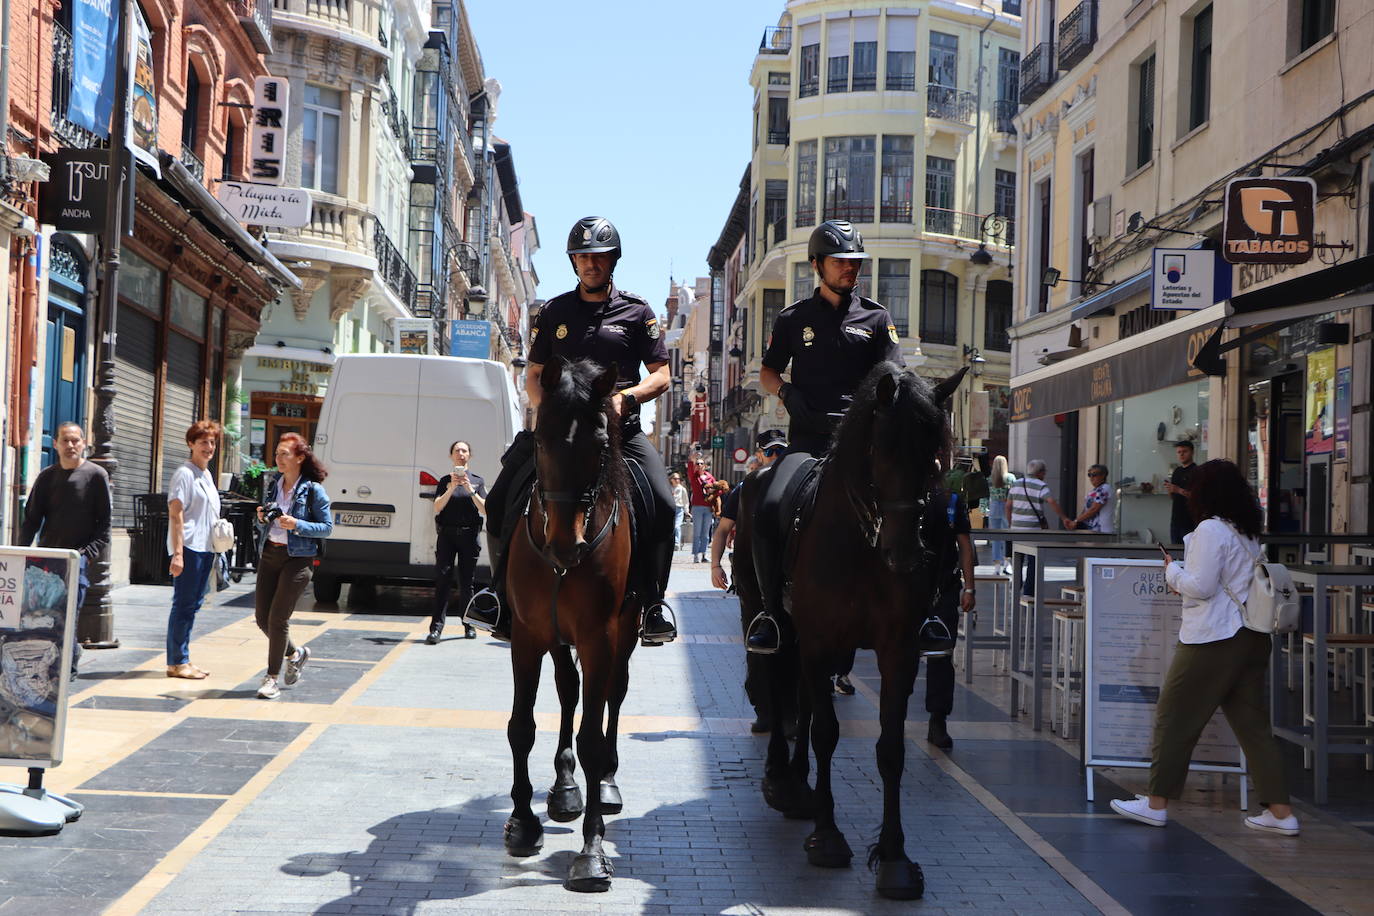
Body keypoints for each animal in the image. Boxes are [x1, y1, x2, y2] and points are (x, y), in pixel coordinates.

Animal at [500, 357, 637, 895]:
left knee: (612, 696)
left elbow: (593, 739)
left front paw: (592, 854)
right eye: (540, 441)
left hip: (626, 632)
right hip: (555, 637)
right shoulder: (525, 634)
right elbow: (521, 727)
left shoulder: (601, 638)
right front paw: (522, 822)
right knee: (566, 687)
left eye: (600, 446)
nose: (564, 544)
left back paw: (607, 786)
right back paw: (563, 788)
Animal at [736, 359, 961, 900]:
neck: (863, 544)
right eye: (882, 448)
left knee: (798, 699)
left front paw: (895, 859)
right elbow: (826, 733)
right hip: (768, 615)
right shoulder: (819, 642)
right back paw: (781, 779)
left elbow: (891, 748)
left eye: (935, 452)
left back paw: (799, 785)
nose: (905, 552)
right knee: (776, 684)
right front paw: (827, 836)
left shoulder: (897, 649)